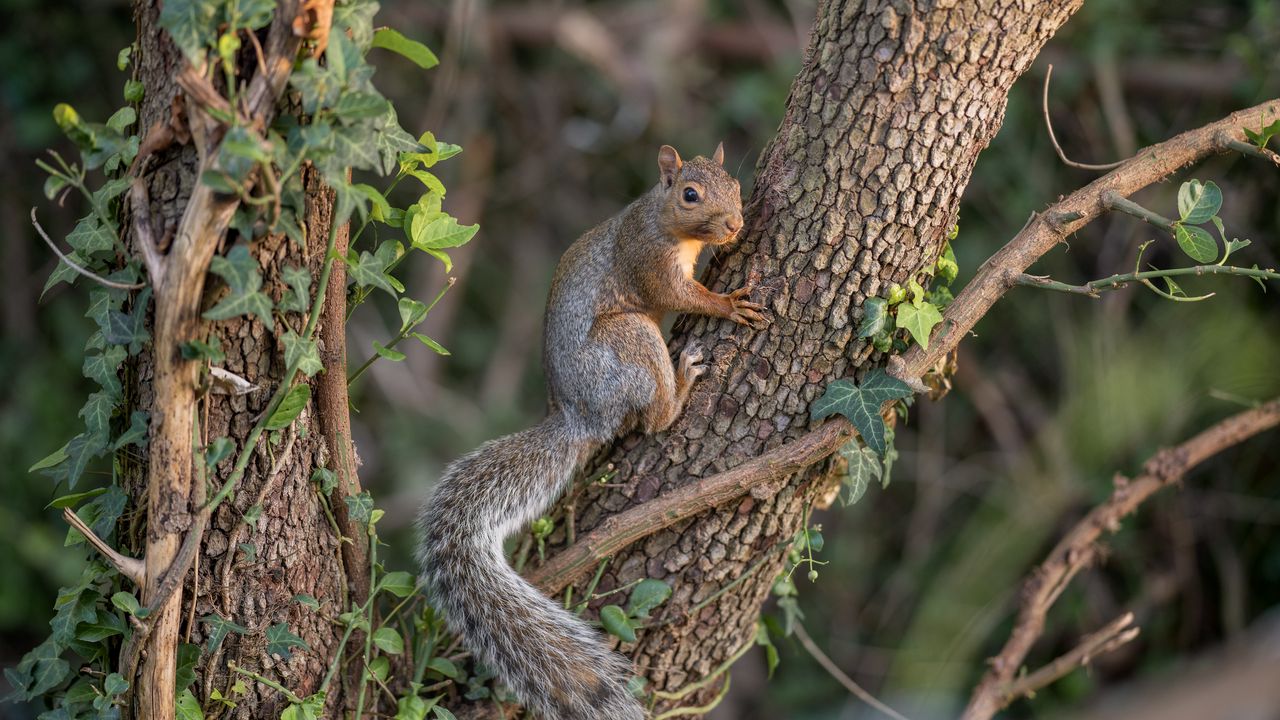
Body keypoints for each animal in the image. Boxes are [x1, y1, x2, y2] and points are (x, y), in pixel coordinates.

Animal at [416, 143, 764, 720]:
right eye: (690, 194)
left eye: (735, 184)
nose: (736, 223)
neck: (658, 218)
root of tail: (580, 414)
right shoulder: (648, 262)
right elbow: (683, 296)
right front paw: (729, 302)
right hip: (629, 337)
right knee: (653, 419)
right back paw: (681, 386)